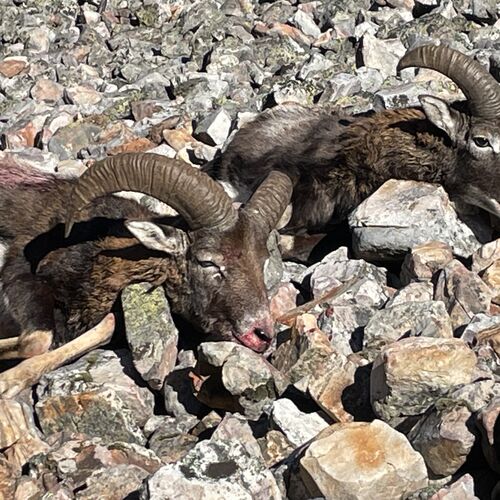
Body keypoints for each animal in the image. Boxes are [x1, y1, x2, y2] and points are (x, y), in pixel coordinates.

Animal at [0, 153, 292, 396]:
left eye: (261, 261)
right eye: (207, 261)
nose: (262, 335)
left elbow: (100, 328)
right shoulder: (20, 274)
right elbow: (38, 340)